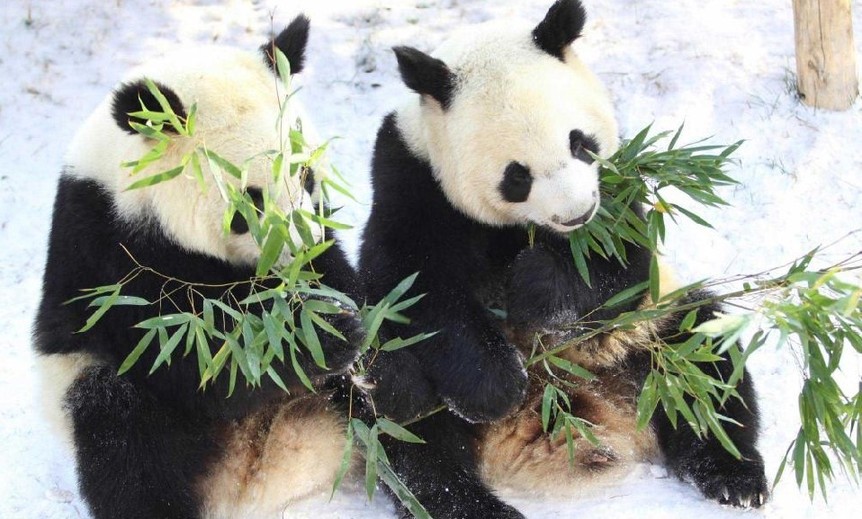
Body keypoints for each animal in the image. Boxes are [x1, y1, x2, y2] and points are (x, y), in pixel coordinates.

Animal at [33, 15, 364, 519]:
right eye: (251, 200)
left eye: (307, 176)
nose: (299, 255)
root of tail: (255, 479)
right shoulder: (111, 253)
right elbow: (196, 358)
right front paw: (326, 333)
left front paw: (337, 306)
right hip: (81, 381)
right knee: (125, 439)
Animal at [356, 2, 768, 516]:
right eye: (517, 176)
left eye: (580, 142)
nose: (577, 214)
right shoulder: (409, 178)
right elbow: (411, 284)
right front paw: (496, 386)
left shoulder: (619, 187)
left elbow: (621, 268)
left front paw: (536, 289)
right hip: (387, 376)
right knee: (405, 423)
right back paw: (475, 503)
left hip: (652, 328)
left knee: (705, 363)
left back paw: (735, 476)